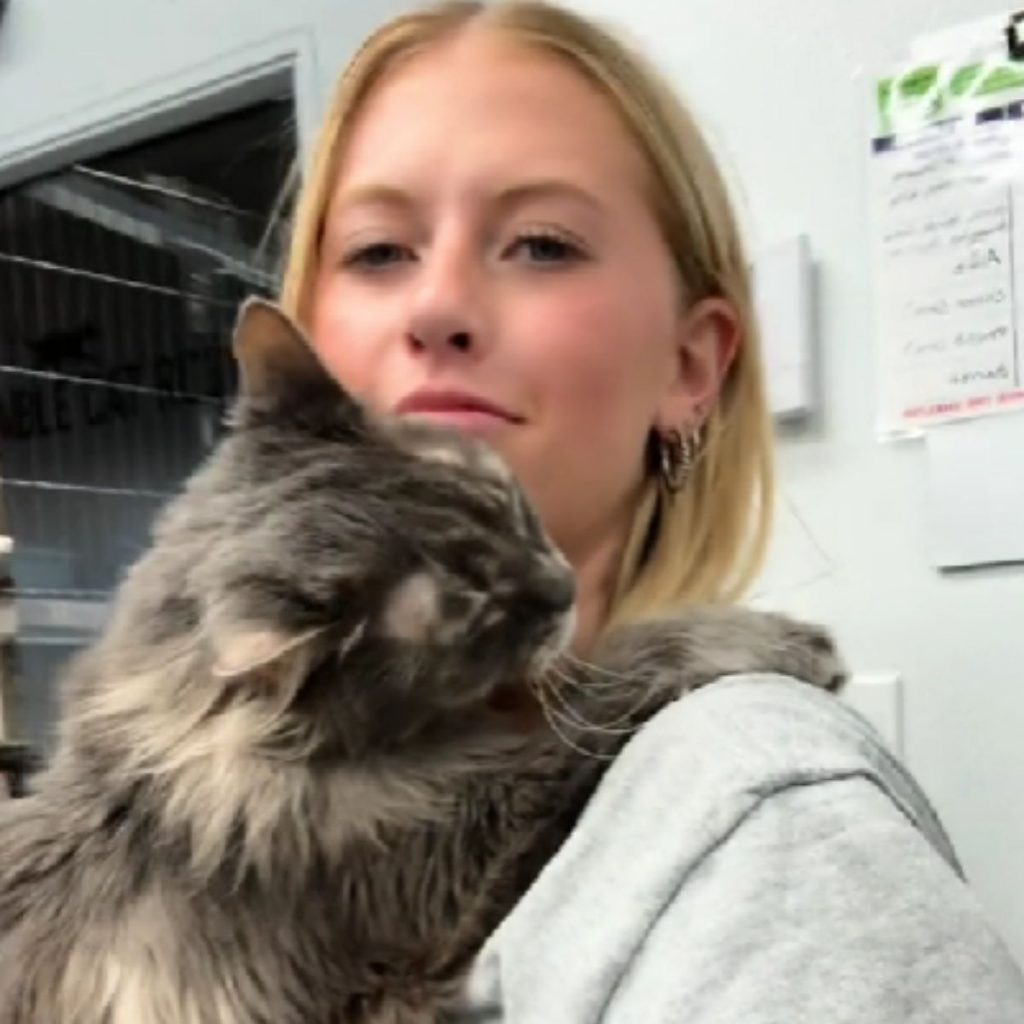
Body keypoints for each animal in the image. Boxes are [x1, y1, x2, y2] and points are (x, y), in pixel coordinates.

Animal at [0, 299, 847, 1024]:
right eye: (472, 603)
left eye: (508, 504)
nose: (563, 587)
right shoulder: (453, 860)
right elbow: (610, 679)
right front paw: (779, 639)